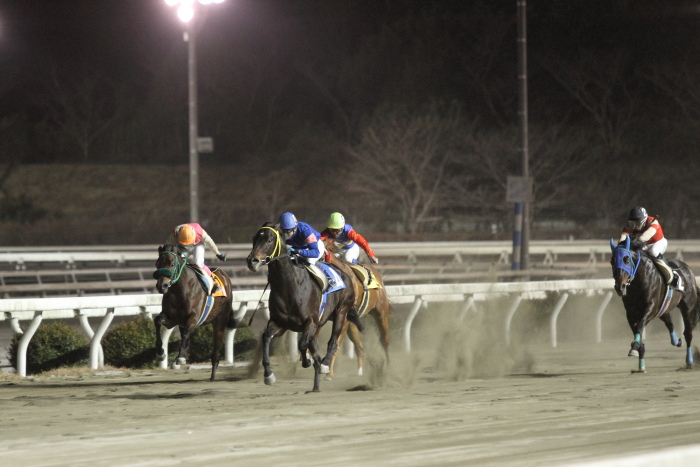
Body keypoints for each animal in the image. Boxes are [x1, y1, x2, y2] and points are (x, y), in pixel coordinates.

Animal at [153, 243, 241, 382]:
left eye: (172, 263)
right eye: (157, 263)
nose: (162, 286)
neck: (179, 291)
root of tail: (224, 275)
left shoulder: (194, 318)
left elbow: (186, 334)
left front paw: (180, 358)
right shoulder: (172, 319)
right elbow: (157, 321)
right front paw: (160, 353)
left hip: (220, 321)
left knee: (216, 349)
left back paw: (213, 375)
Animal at [246, 225, 360, 394]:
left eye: (269, 239)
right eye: (254, 238)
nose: (251, 261)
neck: (289, 286)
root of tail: (345, 274)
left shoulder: (310, 322)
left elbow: (301, 345)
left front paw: (307, 361)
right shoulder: (280, 323)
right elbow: (266, 337)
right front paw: (268, 375)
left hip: (341, 313)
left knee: (333, 342)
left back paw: (325, 366)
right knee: (316, 350)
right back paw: (315, 387)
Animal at [324, 239, 394, 378]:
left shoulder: (343, 317)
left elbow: (336, 342)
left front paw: (329, 372)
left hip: (380, 314)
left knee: (384, 340)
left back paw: (388, 366)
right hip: (352, 323)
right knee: (359, 346)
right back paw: (359, 371)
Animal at [608, 238, 700, 372]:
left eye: (627, 260)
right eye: (612, 261)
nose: (620, 287)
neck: (638, 282)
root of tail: (688, 270)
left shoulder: (650, 308)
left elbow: (640, 326)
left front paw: (634, 347)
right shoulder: (630, 313)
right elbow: (637, 329)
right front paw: (640, 361)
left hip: (688, 306)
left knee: (688, 333)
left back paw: (689, 361)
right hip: (663, 309)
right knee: (670, 323)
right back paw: (677, 341)